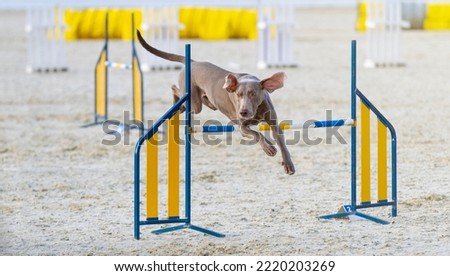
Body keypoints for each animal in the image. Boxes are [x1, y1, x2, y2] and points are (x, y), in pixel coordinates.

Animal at [136, 30, 296, 175]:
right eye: (238, 95)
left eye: (253, 93)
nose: (243, 112)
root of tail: (193, 62)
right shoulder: (242, 127)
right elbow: (257, 134)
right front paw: (269, 148)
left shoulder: (273, 122)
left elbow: (281, 142)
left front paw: (288, 163)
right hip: (194, 102)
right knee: (174, 88)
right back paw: (177, 103)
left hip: (203, 101)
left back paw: (179, 108)